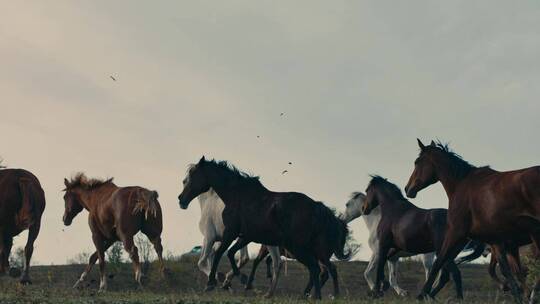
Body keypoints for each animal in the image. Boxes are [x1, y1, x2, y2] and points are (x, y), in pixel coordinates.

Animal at [175, 157, 348, 300]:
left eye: (189, 178)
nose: (181, 199)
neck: (238, 196)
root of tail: (317, 206)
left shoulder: (229, 233)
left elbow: (219, 254)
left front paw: (212, 282)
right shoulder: (246, 236)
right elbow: (232, 254)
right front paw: (239, 279)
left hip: (299, 248)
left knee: (315, 269)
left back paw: (314, 296)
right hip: (311, 249)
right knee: (321, 269)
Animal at [404, 139, 540, 302]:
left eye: (417, 162)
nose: (408, 189)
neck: (461, 185)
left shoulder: (456, 233)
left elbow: (438, 262)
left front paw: (422, 295)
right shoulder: (496, 242)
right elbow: (509, 272)